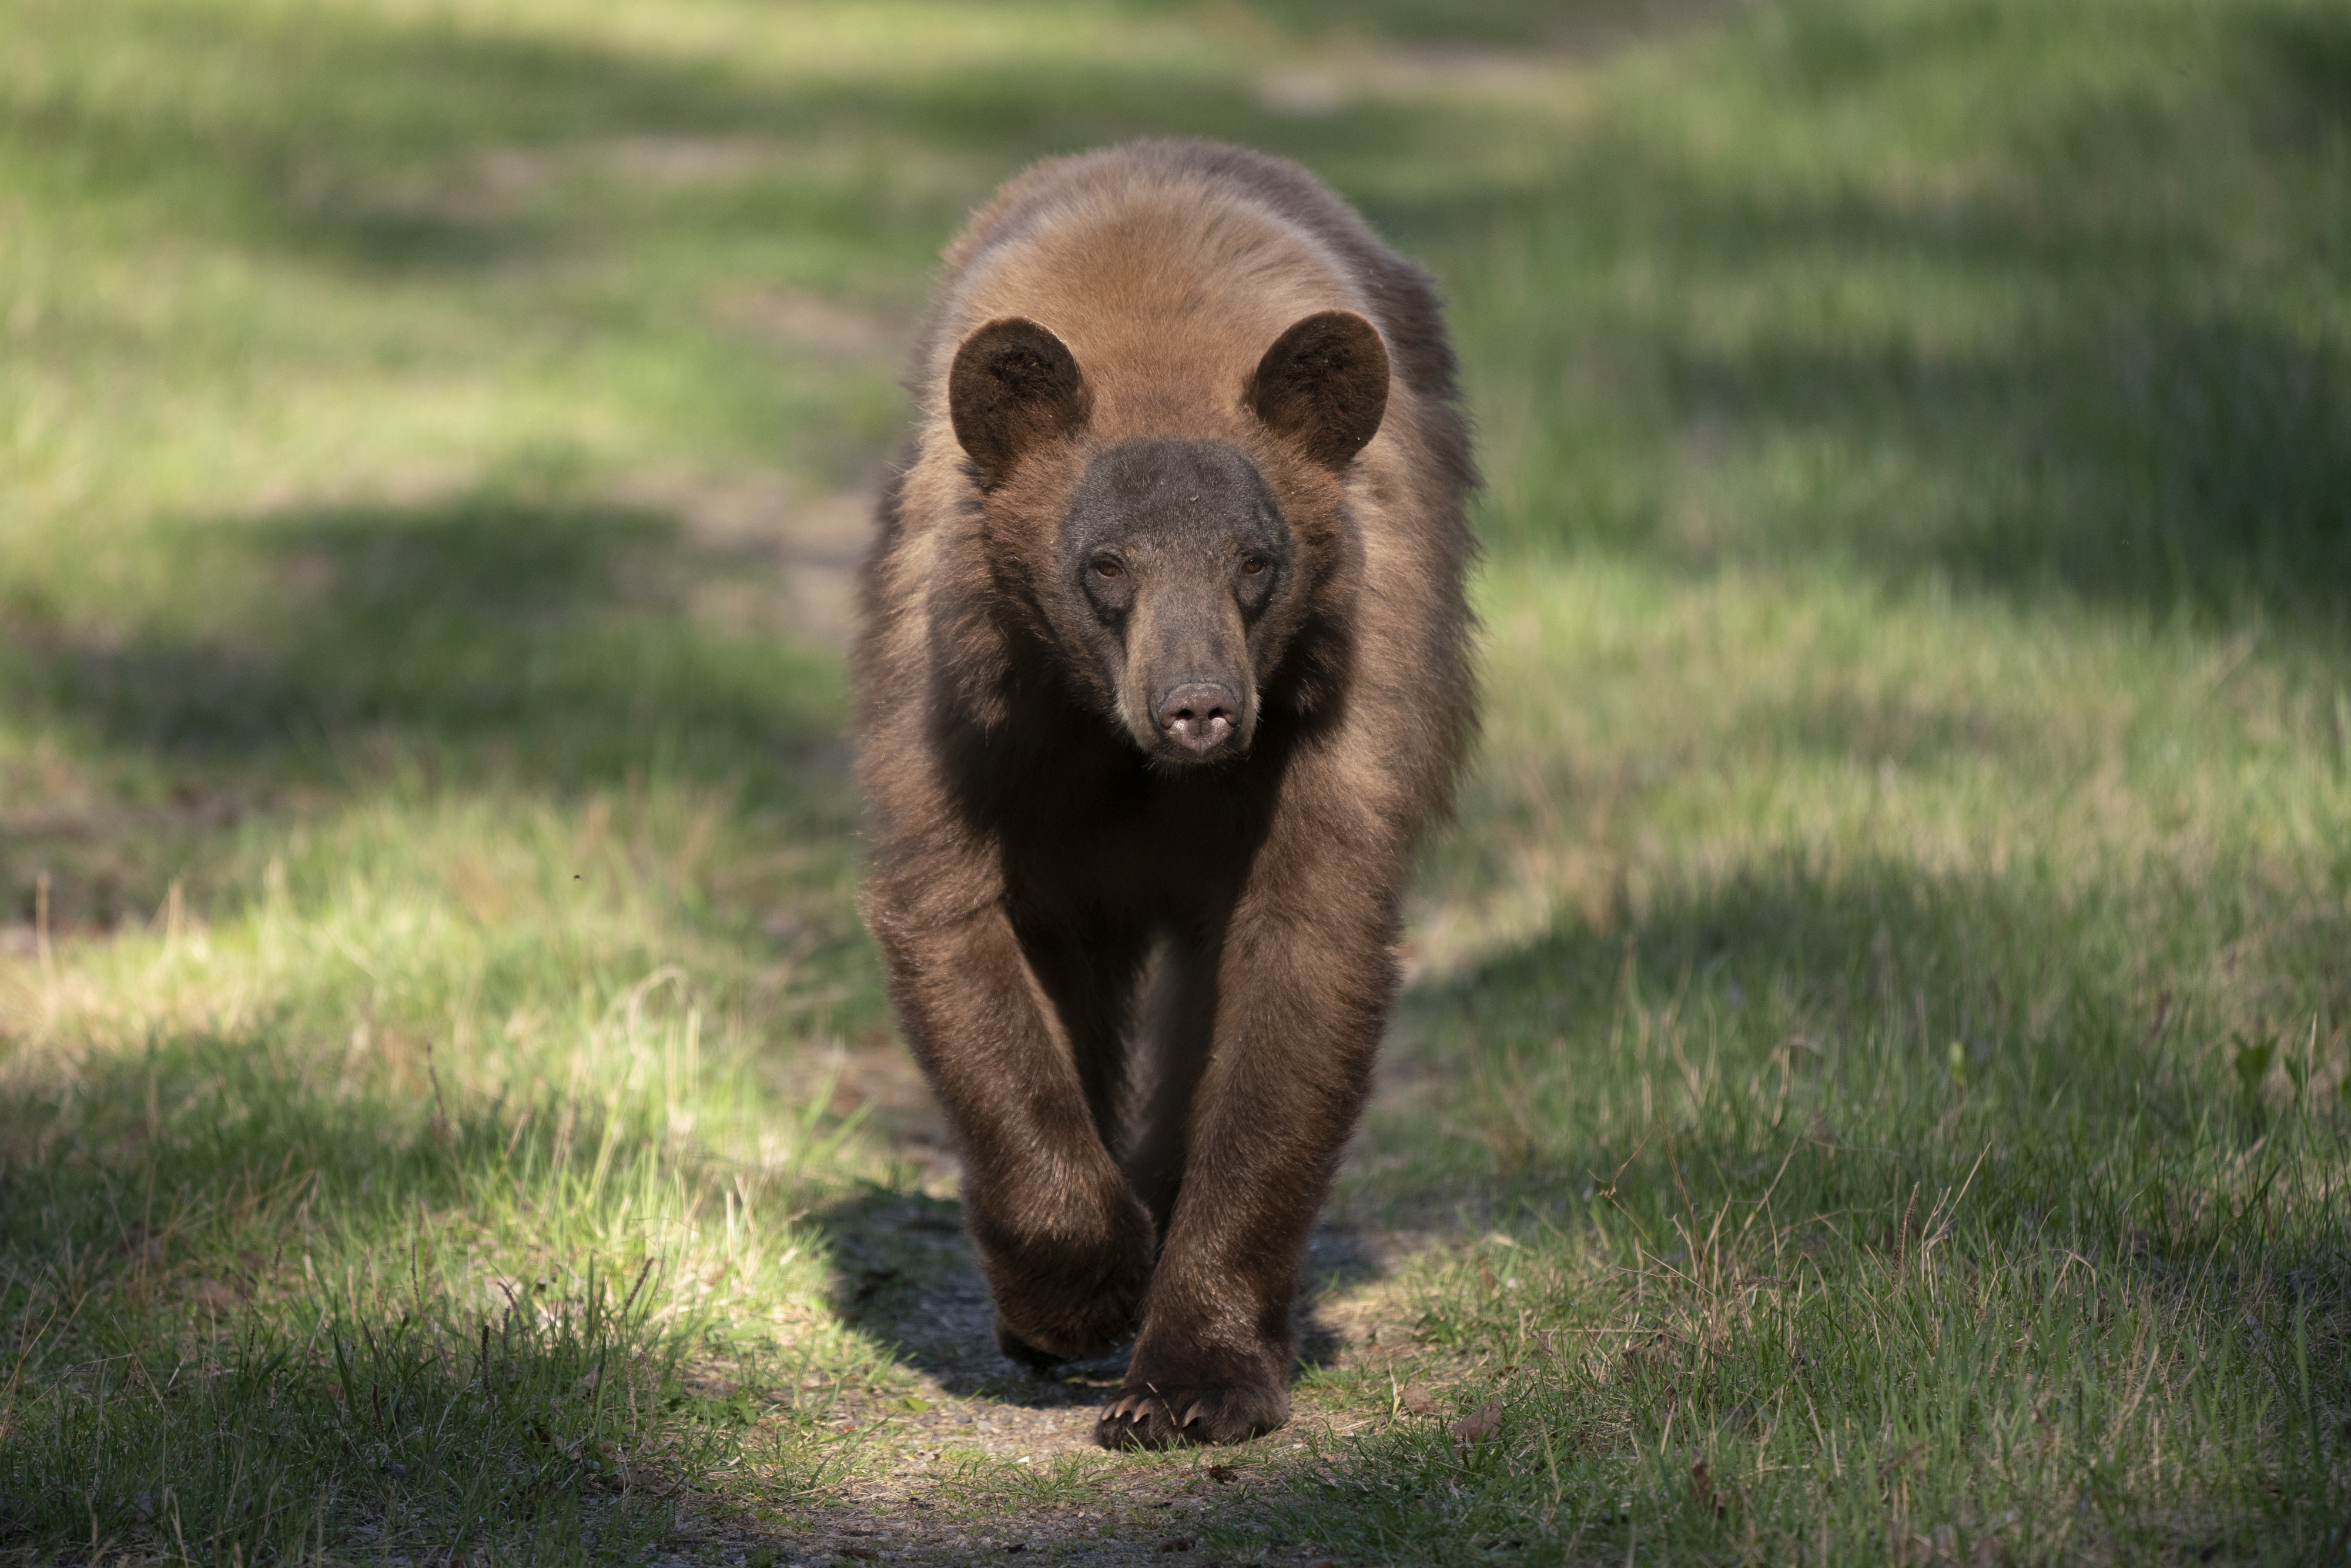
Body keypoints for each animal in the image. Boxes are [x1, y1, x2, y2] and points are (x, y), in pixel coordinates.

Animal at [851, 141, 1467, 1458]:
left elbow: (1302, 962)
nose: (1200, 707)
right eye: (1105, 563)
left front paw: (1193, 1376)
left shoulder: (1335, 710)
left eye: (1256, 559)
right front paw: (1077, 1289)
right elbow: (956, 926)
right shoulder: (969, 709)